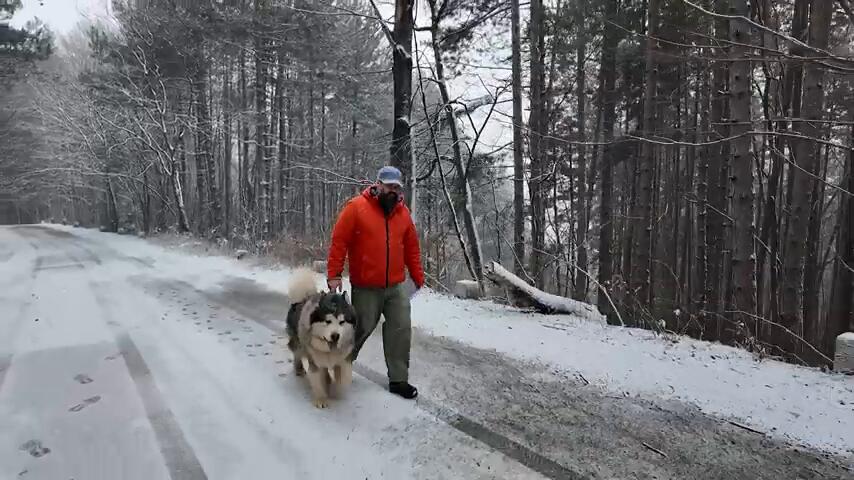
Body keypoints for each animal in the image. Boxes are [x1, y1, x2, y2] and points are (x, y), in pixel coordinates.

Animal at [285, 268, 359, 408]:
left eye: (342, 322)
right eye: (327, 321)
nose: (335, 336)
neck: (329, 350)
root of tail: (301, 299)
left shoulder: (343, 360)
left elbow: (343, 378)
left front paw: (336, 391)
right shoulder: (315, 360)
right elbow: (318, 381)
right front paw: (321, 399)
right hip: (299, 343)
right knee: (297, 353)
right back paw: (299, 369)